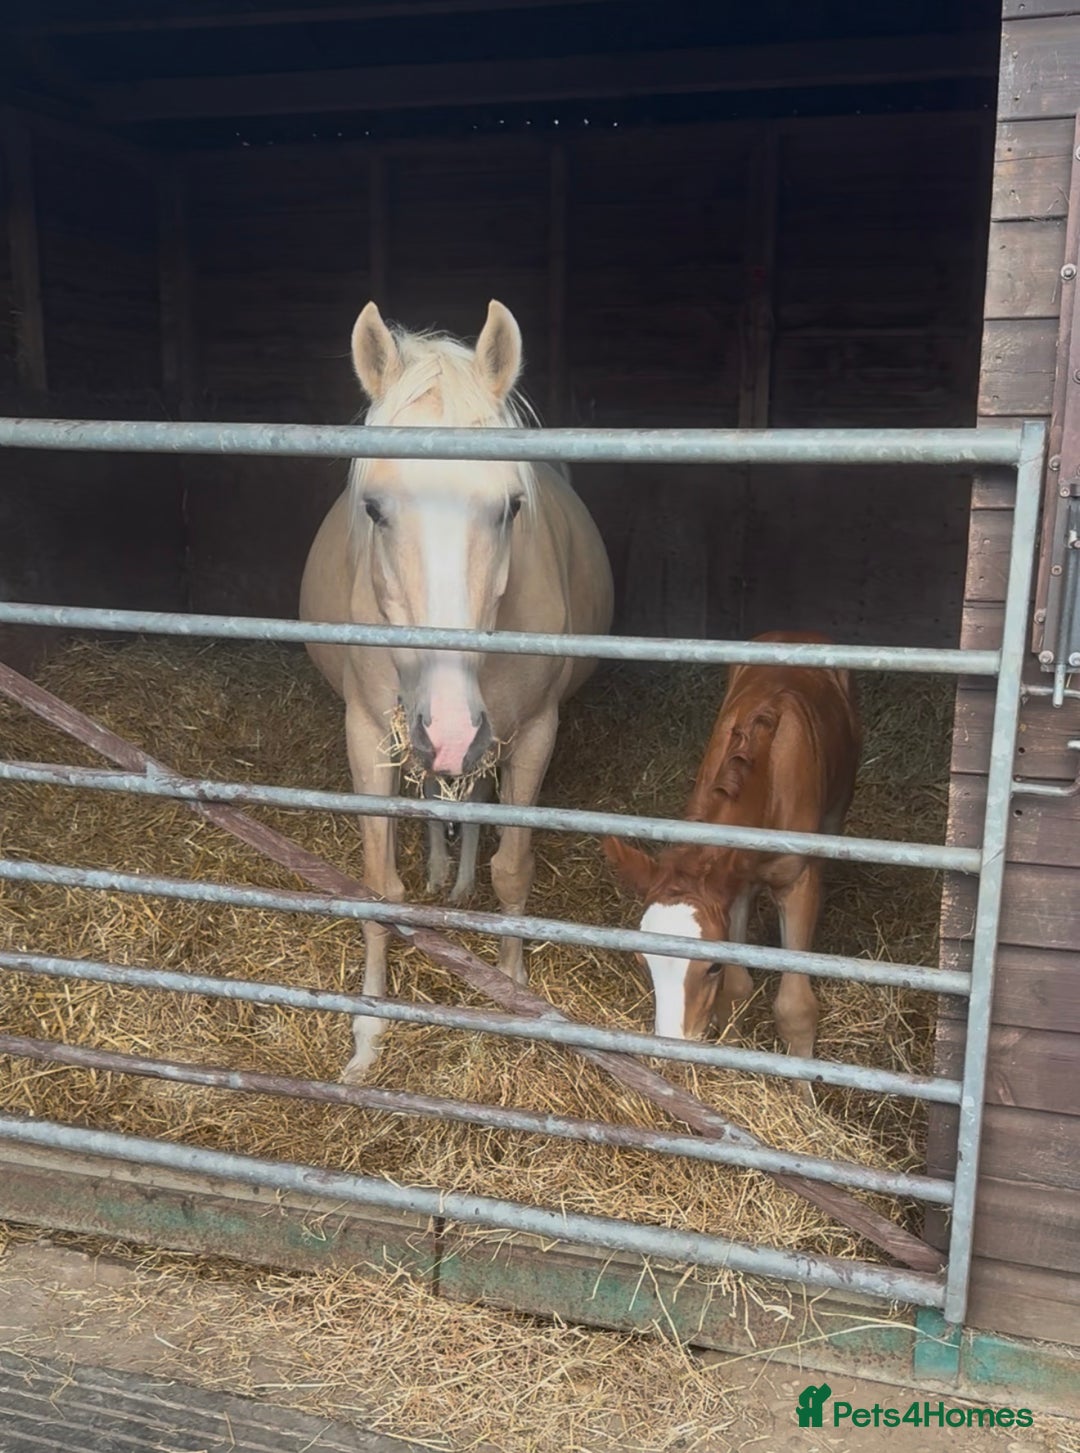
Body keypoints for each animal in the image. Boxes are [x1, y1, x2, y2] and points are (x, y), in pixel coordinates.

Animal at [300, 300, 614, 1081]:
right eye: (375, 508)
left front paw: (515, 993)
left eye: (509, 507)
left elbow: (514, 869)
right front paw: (368, 1034)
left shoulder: (531, 732)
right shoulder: (368, 732)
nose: (446, 729)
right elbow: (378, 884)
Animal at [603, 631, 862, 1103]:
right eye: (641, 960)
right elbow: (738, 990)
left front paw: (803, 1100)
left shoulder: (796, 882)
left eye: (711, 967)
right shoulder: (735, 886)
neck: (767, 779)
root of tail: (797, 634)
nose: (672, 1057)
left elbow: (795, 1007)